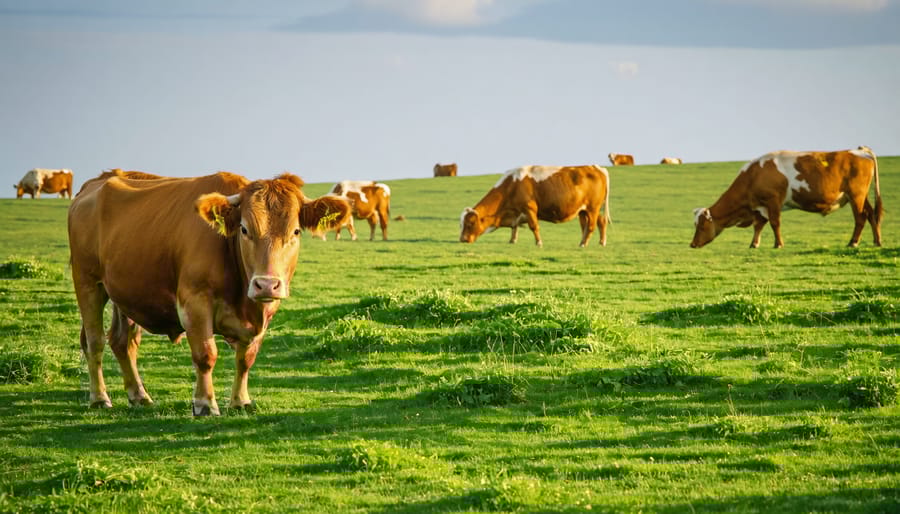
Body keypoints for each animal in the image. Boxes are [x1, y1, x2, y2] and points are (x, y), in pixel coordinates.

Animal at [68, 170, 347, 415]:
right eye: (245, 229)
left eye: (295, 231)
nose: (266, 284)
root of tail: (98, 182)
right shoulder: (194, 303)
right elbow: (205, 354)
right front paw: (204, 404)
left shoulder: (264, 312)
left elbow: (246, 358)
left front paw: (240, 401)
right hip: (88, 282)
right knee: (95, 341)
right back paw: (99, 398)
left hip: (125, 294)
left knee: (122, 342)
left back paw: (139, 395)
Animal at [459, 165, 611, 248]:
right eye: (461, 224)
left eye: (470, 223)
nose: (462, 240)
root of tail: (597, 167)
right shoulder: (516, 213)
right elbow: (514, 227)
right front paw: (512, 240)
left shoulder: (529, 208)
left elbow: (534, 226)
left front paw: (539, 243)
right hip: (587, 210)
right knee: (600, 222)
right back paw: (601, 242)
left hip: (592, 208)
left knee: (590, 226)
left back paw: (583, 244)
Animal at [691, 146, 882, 249]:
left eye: (702, 226)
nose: (692, 244)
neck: (754, 175)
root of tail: (859, 150)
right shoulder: (760, 207)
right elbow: (758, 225)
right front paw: (754, 244)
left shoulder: (773, 201)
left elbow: (775, 223)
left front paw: (778, 244)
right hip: (861, 196)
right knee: (871, 214)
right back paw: (877, 241)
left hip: (856, 195)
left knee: (860, 217)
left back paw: (853, 242)